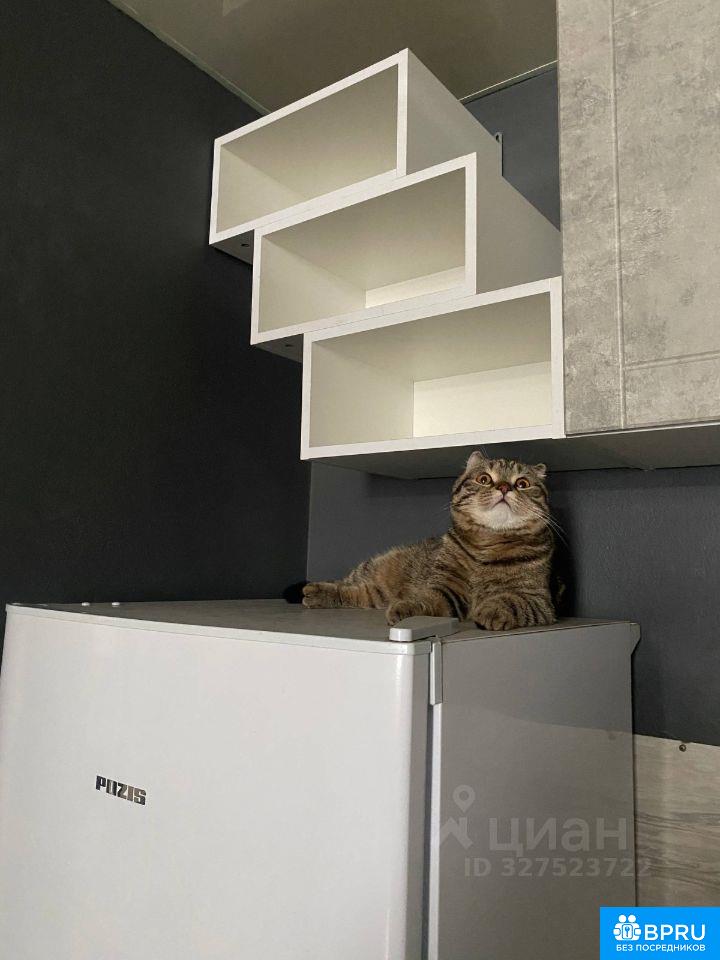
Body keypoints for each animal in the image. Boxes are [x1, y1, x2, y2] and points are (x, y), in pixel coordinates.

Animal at [302, 452, 556, 630]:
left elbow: (511, 600)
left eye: (522, 483)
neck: (489, 543)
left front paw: (492, 610)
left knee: (359, 593)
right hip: (376, 570)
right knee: (347, 584)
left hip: (377, 594)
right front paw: (406, 607)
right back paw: (315, 590)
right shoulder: (447, 588)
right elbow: (426, 599)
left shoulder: (539, 600)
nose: (504, 487)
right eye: (484, 479)